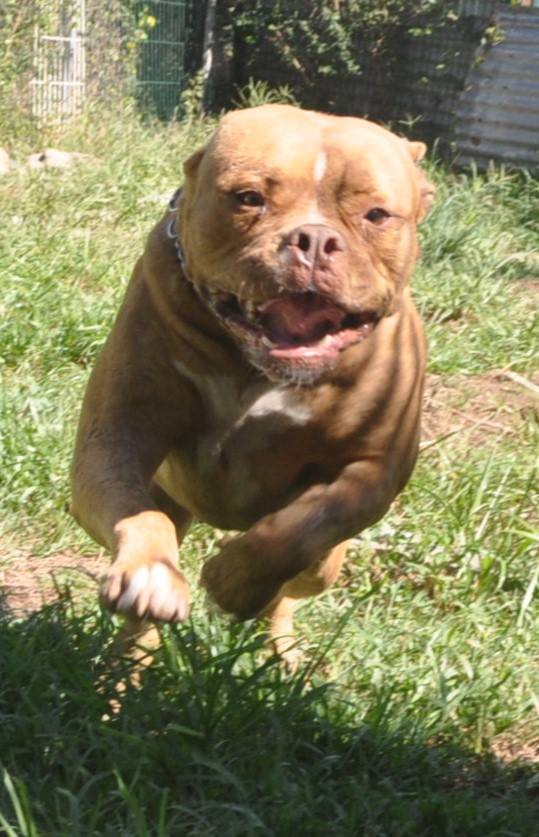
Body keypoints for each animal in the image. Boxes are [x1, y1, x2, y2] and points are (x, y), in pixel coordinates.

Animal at [71, 104, 434, 664]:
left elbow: (300, 530)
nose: (313, 239)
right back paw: (127, 664)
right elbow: (137, 512)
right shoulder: (112, 438)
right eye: (248, 198)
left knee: (288, 591)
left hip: (325, 568)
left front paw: (232, 582)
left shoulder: (374, 471)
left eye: (376, 215)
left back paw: (280, 648)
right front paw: (152, 573)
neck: (254, 368)